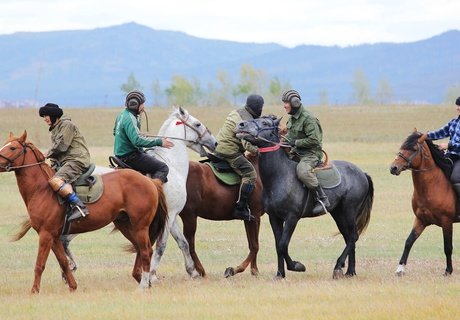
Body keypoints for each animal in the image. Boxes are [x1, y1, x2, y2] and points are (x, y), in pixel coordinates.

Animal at [0, 132, 168, 292]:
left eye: (12, 148)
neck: (42, 189)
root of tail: (150, 181)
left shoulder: (45, 234)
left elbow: (39, 265)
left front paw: (34, 290)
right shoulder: (54, 237)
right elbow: (63, 262)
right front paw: (72, 286)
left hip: (140, 226)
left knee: (145, 251)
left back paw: (143, 286)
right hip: (126, 226)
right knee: (141, 250)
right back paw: (141, 280)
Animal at [64, 107, 217, 280]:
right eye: (197, 124)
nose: (214, 142)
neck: (173, 166)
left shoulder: (171, 216)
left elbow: (182, 242)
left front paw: (193, 272)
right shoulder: (170, 215)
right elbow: (161, 246)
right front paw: (152, 274)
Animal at [234, 115, 374, 278]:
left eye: (264, 122)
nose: (241, 124)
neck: (279, 176)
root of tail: (362, 173)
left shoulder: (292, 217)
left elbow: (283, 245)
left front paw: (296, 266)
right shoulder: (274, 218)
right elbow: (278, 245)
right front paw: (280, 274)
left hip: (349, 211)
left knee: (352, 237)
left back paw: (339, 266)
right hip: (338, 213)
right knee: (348, 238)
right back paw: (350, 272)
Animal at [388, 130, 460, 276]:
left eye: (414, 149)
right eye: (402, 146)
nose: (394, 168)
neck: (433, 186)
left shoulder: (447, 221)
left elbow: (448, 247)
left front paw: (448, 270)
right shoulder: (421, 220)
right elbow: (409, 241)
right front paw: (400, 268)